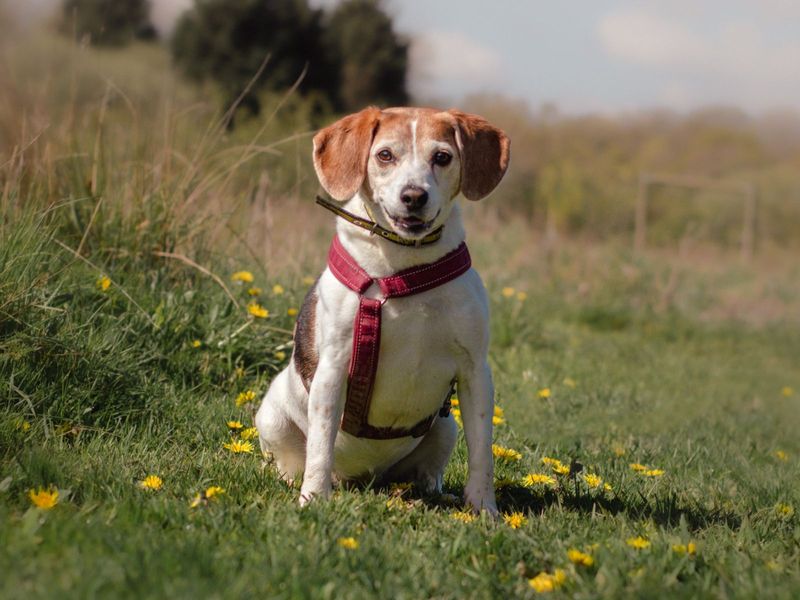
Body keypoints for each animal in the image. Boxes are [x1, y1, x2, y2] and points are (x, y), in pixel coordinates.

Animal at [253, 105, 510, 512]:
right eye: (385, 155)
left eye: (442, 157)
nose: (414, 196)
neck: (403, 269)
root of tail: (361, 477)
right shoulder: (333, 369)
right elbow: (321, 444)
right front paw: (314, 497)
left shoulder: (475, 373)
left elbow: (482, 451)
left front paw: (484, 509)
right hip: (272, 417)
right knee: (291, 459)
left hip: (446, 426)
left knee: (428, 472)